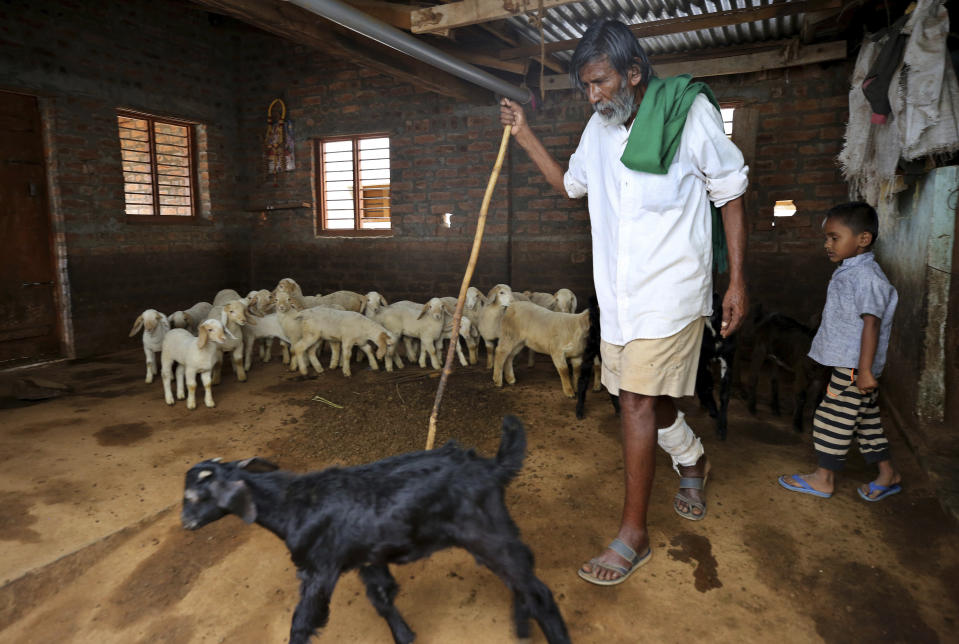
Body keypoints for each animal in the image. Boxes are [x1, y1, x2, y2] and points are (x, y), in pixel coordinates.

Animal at [181, 416, 568, 644]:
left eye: (194, 496)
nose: (185, 524)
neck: (294, 504)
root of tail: (493, 468)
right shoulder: (367, 557)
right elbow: (382, 597)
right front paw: (405, 636)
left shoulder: (319, 570)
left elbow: (302, 621)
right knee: (522, 584)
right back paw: (521, 628)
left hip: (488, 535)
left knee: (538, 592)